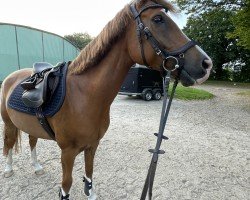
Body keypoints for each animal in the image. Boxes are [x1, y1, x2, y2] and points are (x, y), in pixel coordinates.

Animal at [0, 0, 212, 199]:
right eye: (158, 19)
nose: (206, 64)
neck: (84, 95)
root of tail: (12, 76)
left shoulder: (93, 145)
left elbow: (89, 173)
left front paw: (91, 193)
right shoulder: (67, 152)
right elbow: (66, 185)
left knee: (32, 141)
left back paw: (36, 167)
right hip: (9, 122)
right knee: (9, 142)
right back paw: (9, 169)